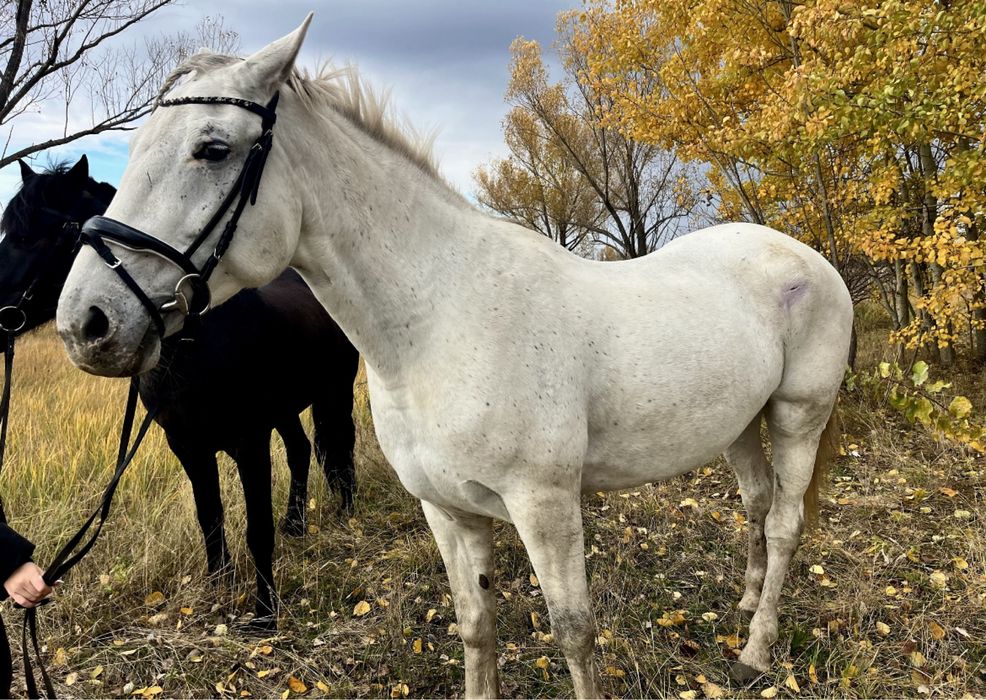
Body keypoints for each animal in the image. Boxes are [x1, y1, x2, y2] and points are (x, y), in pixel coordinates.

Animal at [1, 156, 360, 627]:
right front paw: (219, 586)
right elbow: (209, 514)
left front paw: (265, 614)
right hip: (285, 410)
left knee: (342, 446)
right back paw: (296, 525)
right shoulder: (188, 445)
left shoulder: (249, 441)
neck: (198, 346)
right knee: (301, 451)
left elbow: (257, 527)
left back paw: (348, 513)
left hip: (336, 392)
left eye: (55, 230)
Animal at [54, 16, 853, 696]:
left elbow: (574, 633)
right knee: (756, 504)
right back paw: (744, 604)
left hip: (798, 417)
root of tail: (805, 256)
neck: (440, 320)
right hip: (738, 424)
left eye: (213, 148)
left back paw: (756, 649)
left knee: (784, 523)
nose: (86, 322)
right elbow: (477, 625)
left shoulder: (545, 507)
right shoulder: (447, 511)